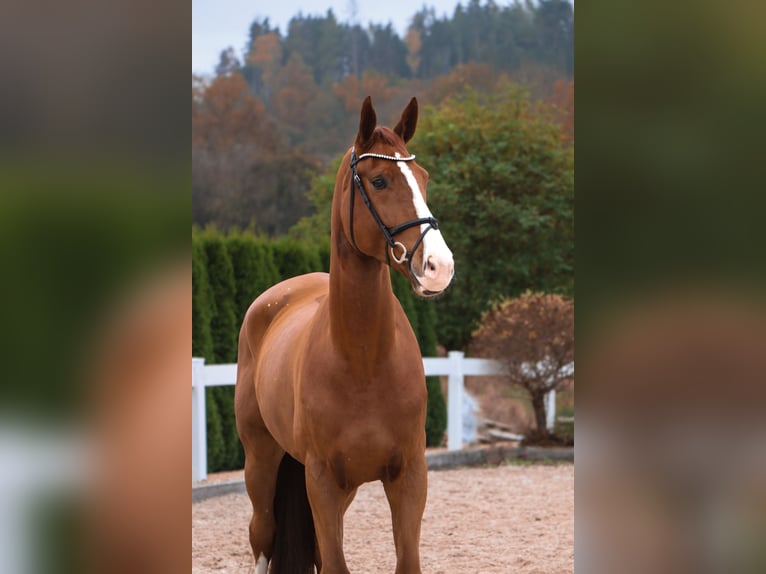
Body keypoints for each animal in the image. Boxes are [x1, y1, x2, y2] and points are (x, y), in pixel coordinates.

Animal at [232, 97, 450, 572]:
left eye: (424, 178)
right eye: (380, 180)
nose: (439, 267)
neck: (363, 361)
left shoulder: (410, 475)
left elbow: (405, 561)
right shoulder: (322, 480)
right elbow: (333, 563)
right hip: (261, 461)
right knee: (262, 534)